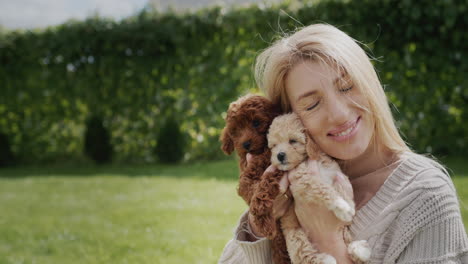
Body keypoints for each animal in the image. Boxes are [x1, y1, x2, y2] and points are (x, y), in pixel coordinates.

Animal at [219, 95, 288, 264]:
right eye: (236, 130)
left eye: (256, 123)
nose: (246, 144)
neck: (261, 151)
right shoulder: (246, 169)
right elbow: (245, 186)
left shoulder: (276, 165)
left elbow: (263, 186)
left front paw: (261, 214)